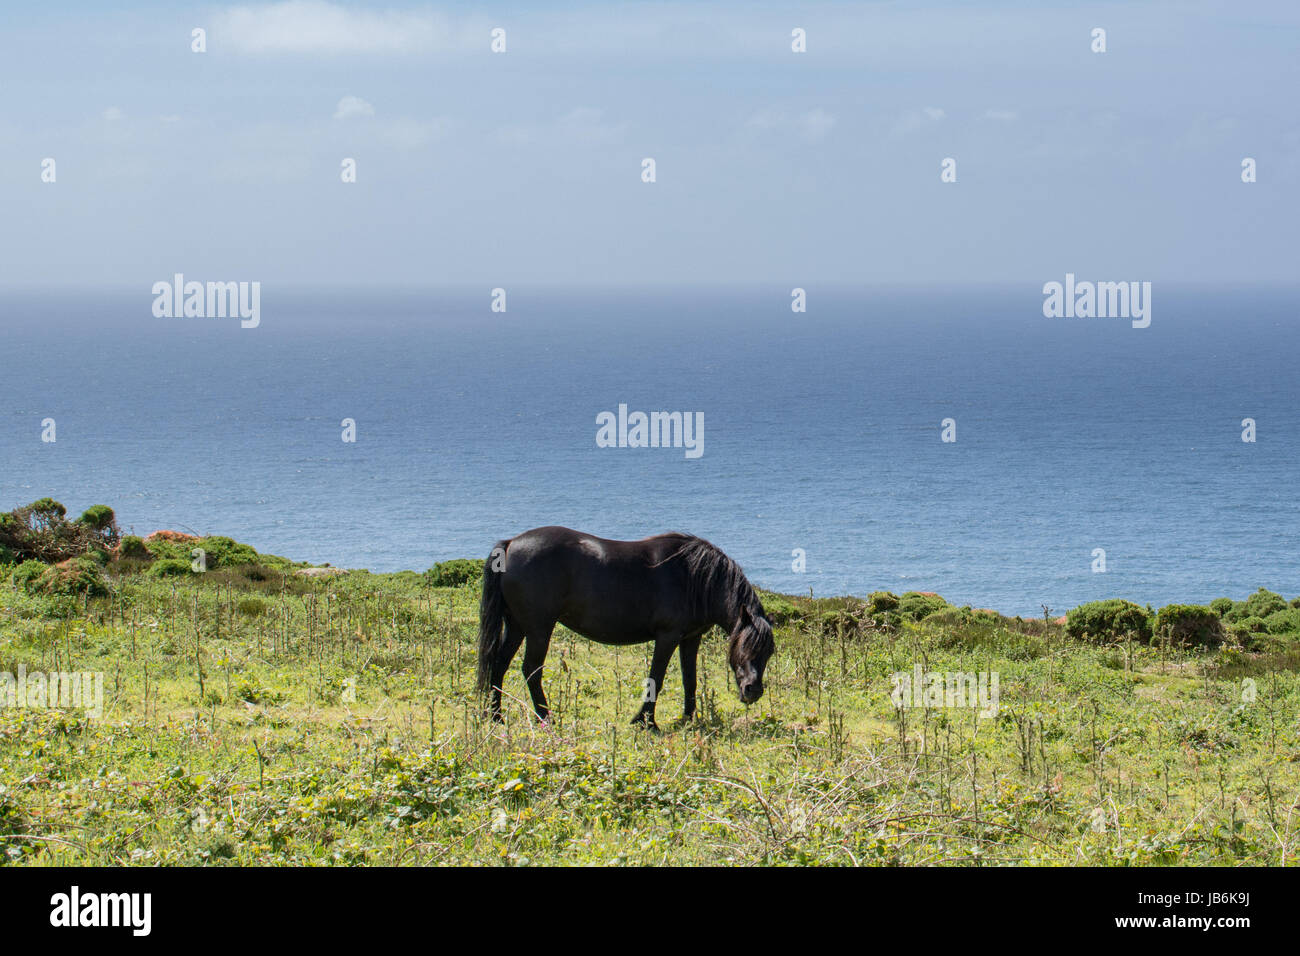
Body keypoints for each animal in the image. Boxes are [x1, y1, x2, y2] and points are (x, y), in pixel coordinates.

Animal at [483, 528, 774, 728]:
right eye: (745, 647)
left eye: (768, 653)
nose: (753, 691)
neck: (695, 577)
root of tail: (510, 545)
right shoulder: (667, 637)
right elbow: (657, 677)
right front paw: (646, 722)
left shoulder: (691, 638)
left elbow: (689, 679)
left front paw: (688, 719)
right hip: (539, 628)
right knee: (531, 670)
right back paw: (546, 717)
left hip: (517, 626)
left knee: (499, 665)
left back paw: (495, 716)